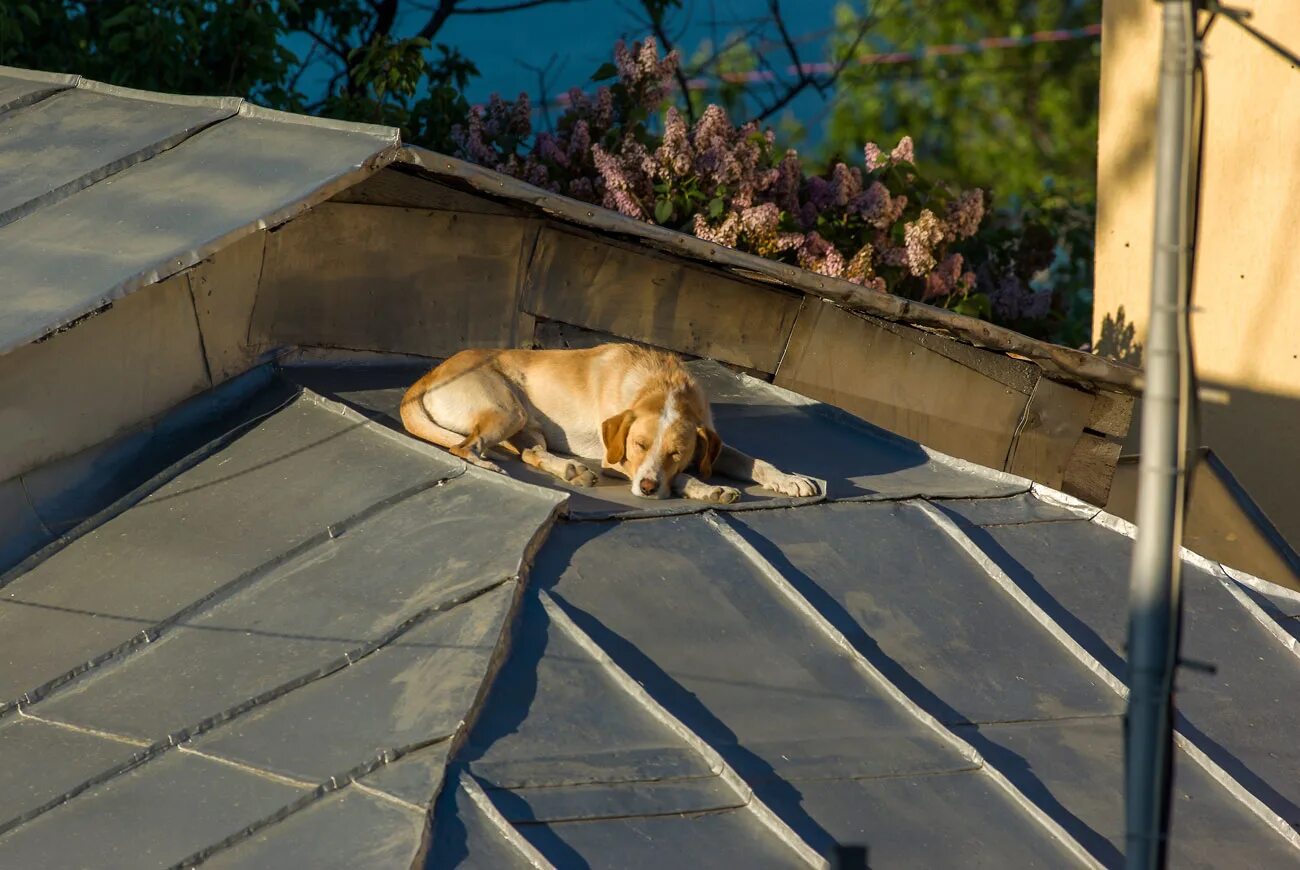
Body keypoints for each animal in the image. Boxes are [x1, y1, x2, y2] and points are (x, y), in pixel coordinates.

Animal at [400, 340, 816, 501]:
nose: (647, 488)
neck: (662, 384)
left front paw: (789, 479)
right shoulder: (615, 458)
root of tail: (425, 378)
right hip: (508, 410)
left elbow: (756, 462)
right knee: (464, 446)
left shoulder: (710, 441)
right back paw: (487, 464)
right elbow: (682, 479)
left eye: (677, 452)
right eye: (638, 445)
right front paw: (706, 489)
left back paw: (570, 470)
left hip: (526, 425)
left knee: (531, 454)